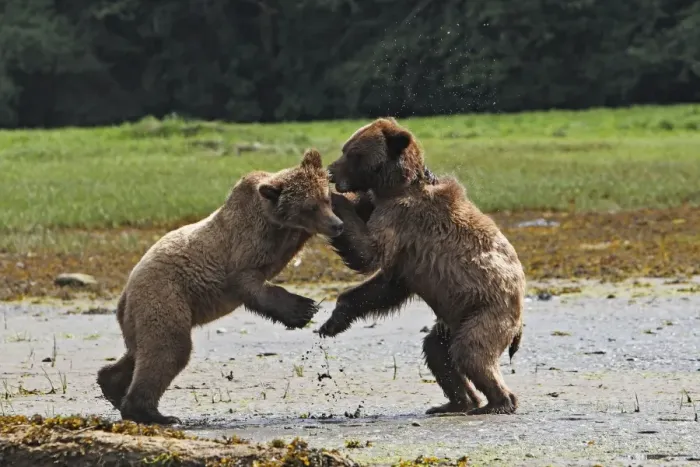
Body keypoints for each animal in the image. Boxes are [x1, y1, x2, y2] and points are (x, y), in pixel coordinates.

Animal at [97, 148, 343, 425]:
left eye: (326, 198)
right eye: (310, 207)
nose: (337, 225)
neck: (274, 223)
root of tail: (126, 291)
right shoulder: (243, 249)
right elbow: (249, 283)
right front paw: (303, 309)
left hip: (138, 314)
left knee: (139, 351)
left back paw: (112, 386)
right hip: (165, 296)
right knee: (169, 348)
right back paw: (154, 413)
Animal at [320, 117, 525, 416]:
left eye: (353, 153)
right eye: (345, 149)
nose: (331, 172)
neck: (394, 187)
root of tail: (519, 319)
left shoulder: (402, 219)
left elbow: (368, 252)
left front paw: (334, 199)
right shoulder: (405, 254)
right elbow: (382, 288)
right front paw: (331, 322)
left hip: (487, 311)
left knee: (471, 352)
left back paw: (496, 403)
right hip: (453, 320)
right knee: (438, 351)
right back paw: (454, 403)